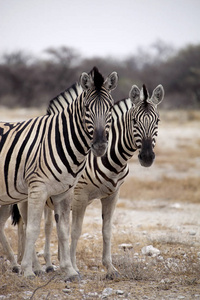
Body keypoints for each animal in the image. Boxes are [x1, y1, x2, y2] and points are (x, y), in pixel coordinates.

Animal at [0, 67, 119, 280]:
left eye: (110, 108)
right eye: (87, 109)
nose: (100, 146)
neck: (60, 140)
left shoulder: (64, 192)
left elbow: (63, 230)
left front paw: (69, 270)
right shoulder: (37, 189)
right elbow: (33, 229)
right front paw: (28, 271)